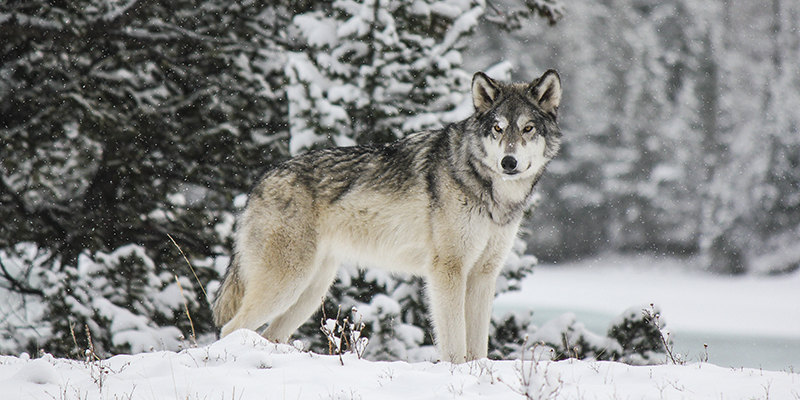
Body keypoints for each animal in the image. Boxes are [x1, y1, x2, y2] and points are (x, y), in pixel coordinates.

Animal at [212, 69, 564, 362]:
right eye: (497, 128)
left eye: (528, 128)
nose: (509, 162)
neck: (487, 188)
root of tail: (258, 184)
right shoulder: (447, 270)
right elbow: (454, 344)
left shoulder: (483, 274)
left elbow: (478, 347)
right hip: (287, 284)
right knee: (230, 329)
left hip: (310, 292)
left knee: (271, 334)